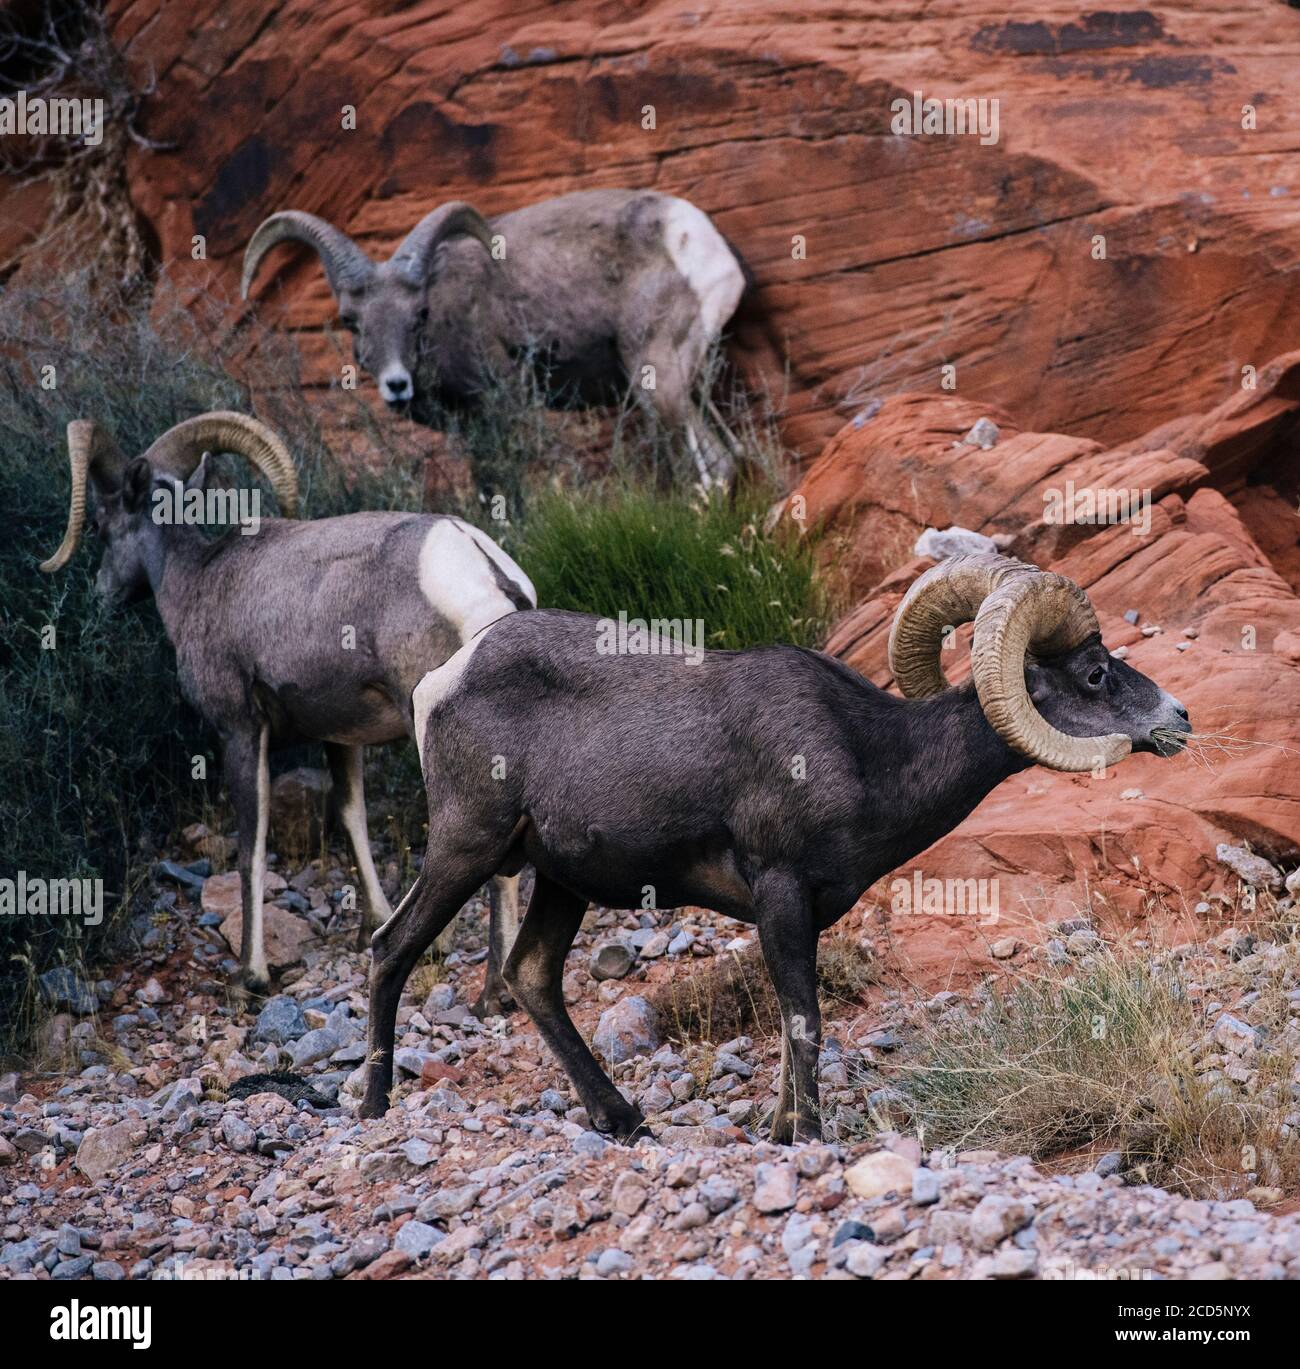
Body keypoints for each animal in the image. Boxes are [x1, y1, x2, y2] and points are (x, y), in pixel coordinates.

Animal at [41, 410, 533, 1013]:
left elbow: (252, 845)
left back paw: (491, 997)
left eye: (101, 524)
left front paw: (250, 976)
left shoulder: (240, 729)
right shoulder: (341, 737)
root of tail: (487, 574)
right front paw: (370, 921)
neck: (201, 580)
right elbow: (350, 814)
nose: (103, 595)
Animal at [240, 187, 749, 487]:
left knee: (713, 468)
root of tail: (699, 240)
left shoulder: (498, 415)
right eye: (351, 319)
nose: (397, 385)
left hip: (659, 382)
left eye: (420, 314)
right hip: (694, 387)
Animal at [361, 550, 1193, 1139]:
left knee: (530, 973)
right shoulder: (781, 892)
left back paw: (625, 1120)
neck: (870, 755)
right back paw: (373, 1107)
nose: (1179, 717)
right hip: (467, 846)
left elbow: (797, 1031)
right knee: (390, 948)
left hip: (562, 881)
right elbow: (805, 1024)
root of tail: (441, 683)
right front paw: (810, 1136)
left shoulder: (800, 913)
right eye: (1095, 673)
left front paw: (781, 1129)